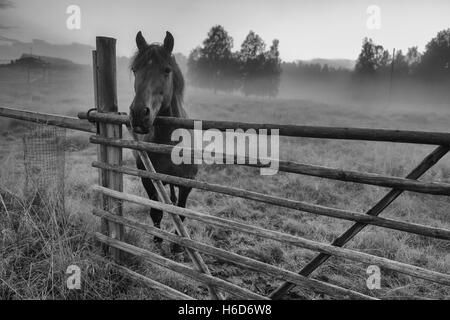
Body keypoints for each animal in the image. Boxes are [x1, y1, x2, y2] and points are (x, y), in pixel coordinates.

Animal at [126, 30, 197, 250]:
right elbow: (156, 211)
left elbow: (181, 214)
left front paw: (178, 246)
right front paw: (158, 240)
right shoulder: (148, 179)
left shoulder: (187, 183)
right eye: (135, 69)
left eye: (167, 70)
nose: (139, 113)